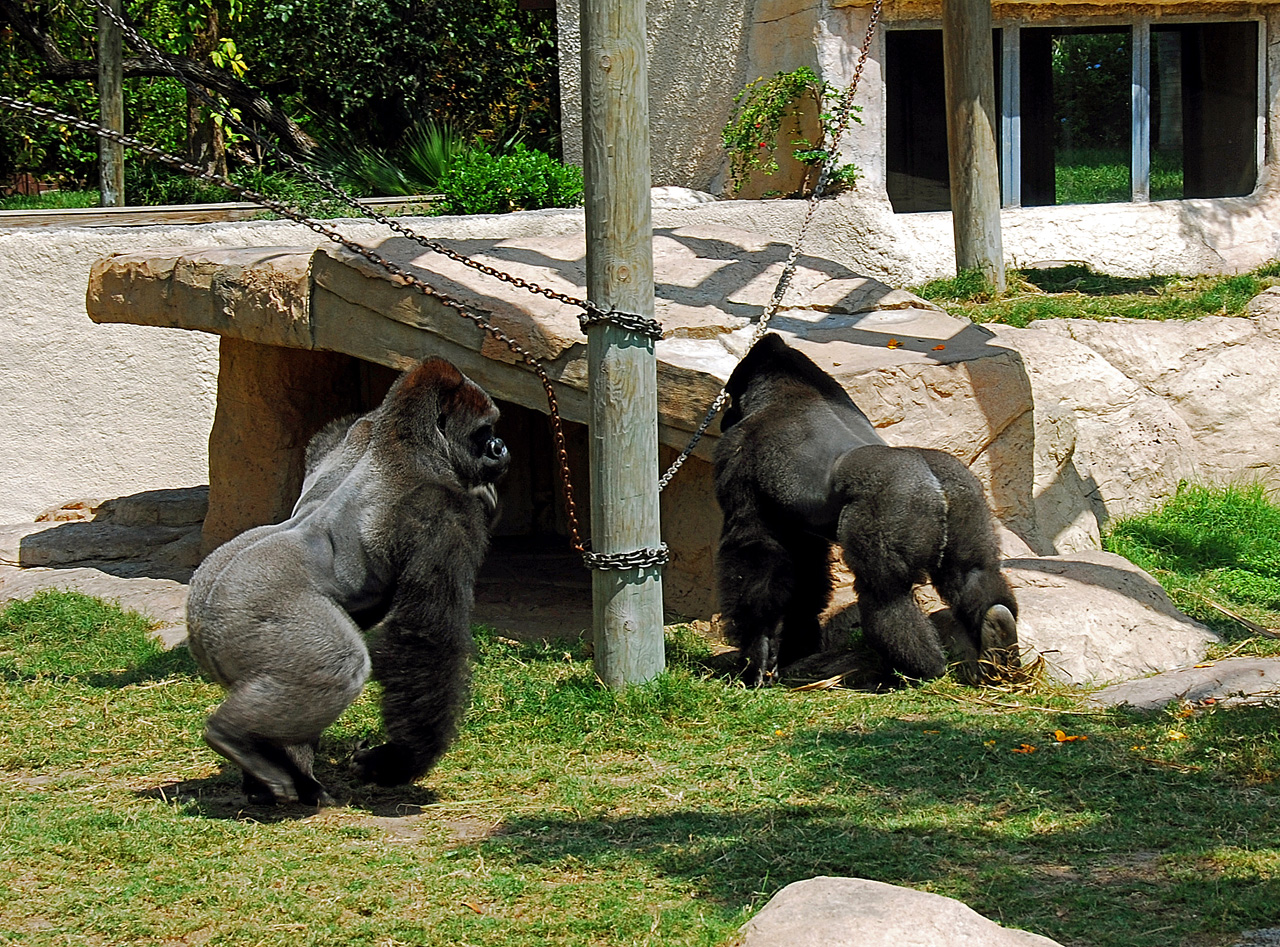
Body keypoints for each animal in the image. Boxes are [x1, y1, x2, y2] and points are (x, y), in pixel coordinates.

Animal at [189, 355, 509, 808]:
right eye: (484, 432)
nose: (501, 448)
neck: (406, 444)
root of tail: (199, 618)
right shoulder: (441, 510)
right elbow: (428, 639)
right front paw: (399, 760)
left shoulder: (354, 433)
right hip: (250, 608)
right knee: (340, 665)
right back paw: (236, 737)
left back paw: (273, 768)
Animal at [711, 335, 1018, 685]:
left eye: (729, 400)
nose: (723, 419)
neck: (788, 385)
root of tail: (932, 479)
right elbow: (804, 566)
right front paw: (792, 647)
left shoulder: (736, 454)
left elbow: (753, 549)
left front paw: (757, 651)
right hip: (963, 491)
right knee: (974, 572)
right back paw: (998, 639)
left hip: (895, 500)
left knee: (884, 594)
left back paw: (919, 669)